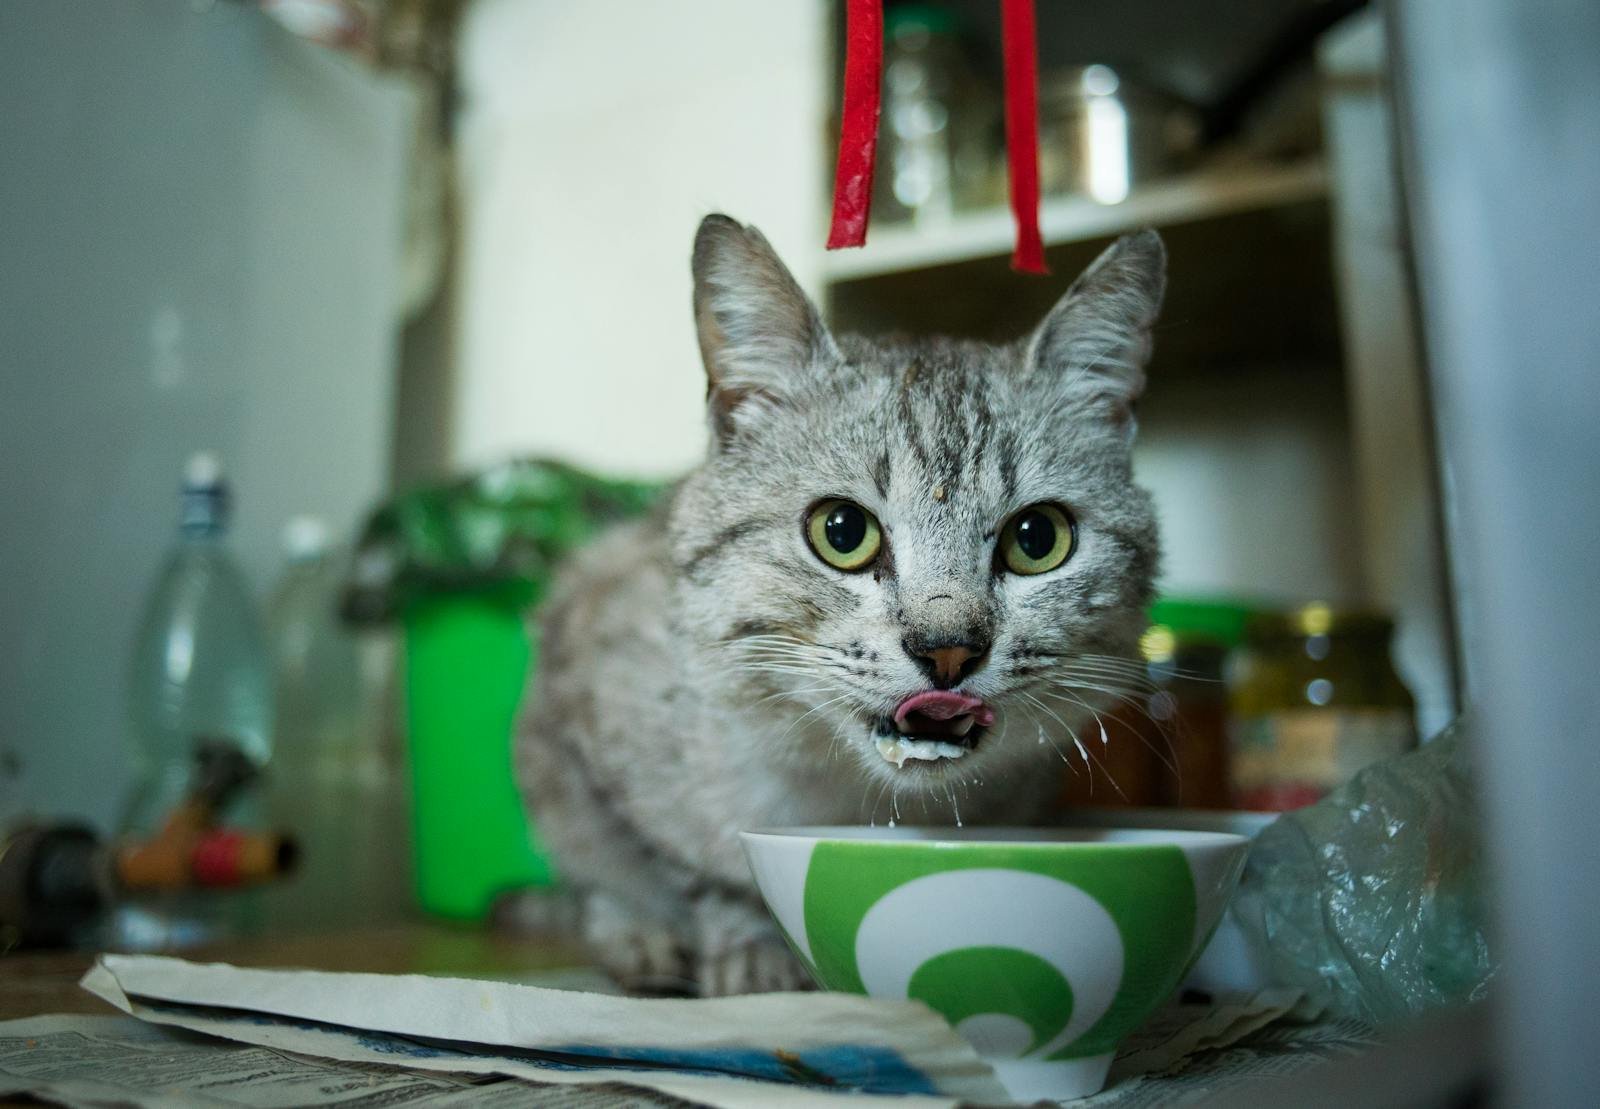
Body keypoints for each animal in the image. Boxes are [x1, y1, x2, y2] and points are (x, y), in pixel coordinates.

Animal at [521, 216, 1164, 992]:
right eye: (842, 531)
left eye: (1038, 538)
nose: (949, 649)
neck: (861, 798)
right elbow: (683, 867)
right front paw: (748, 947)